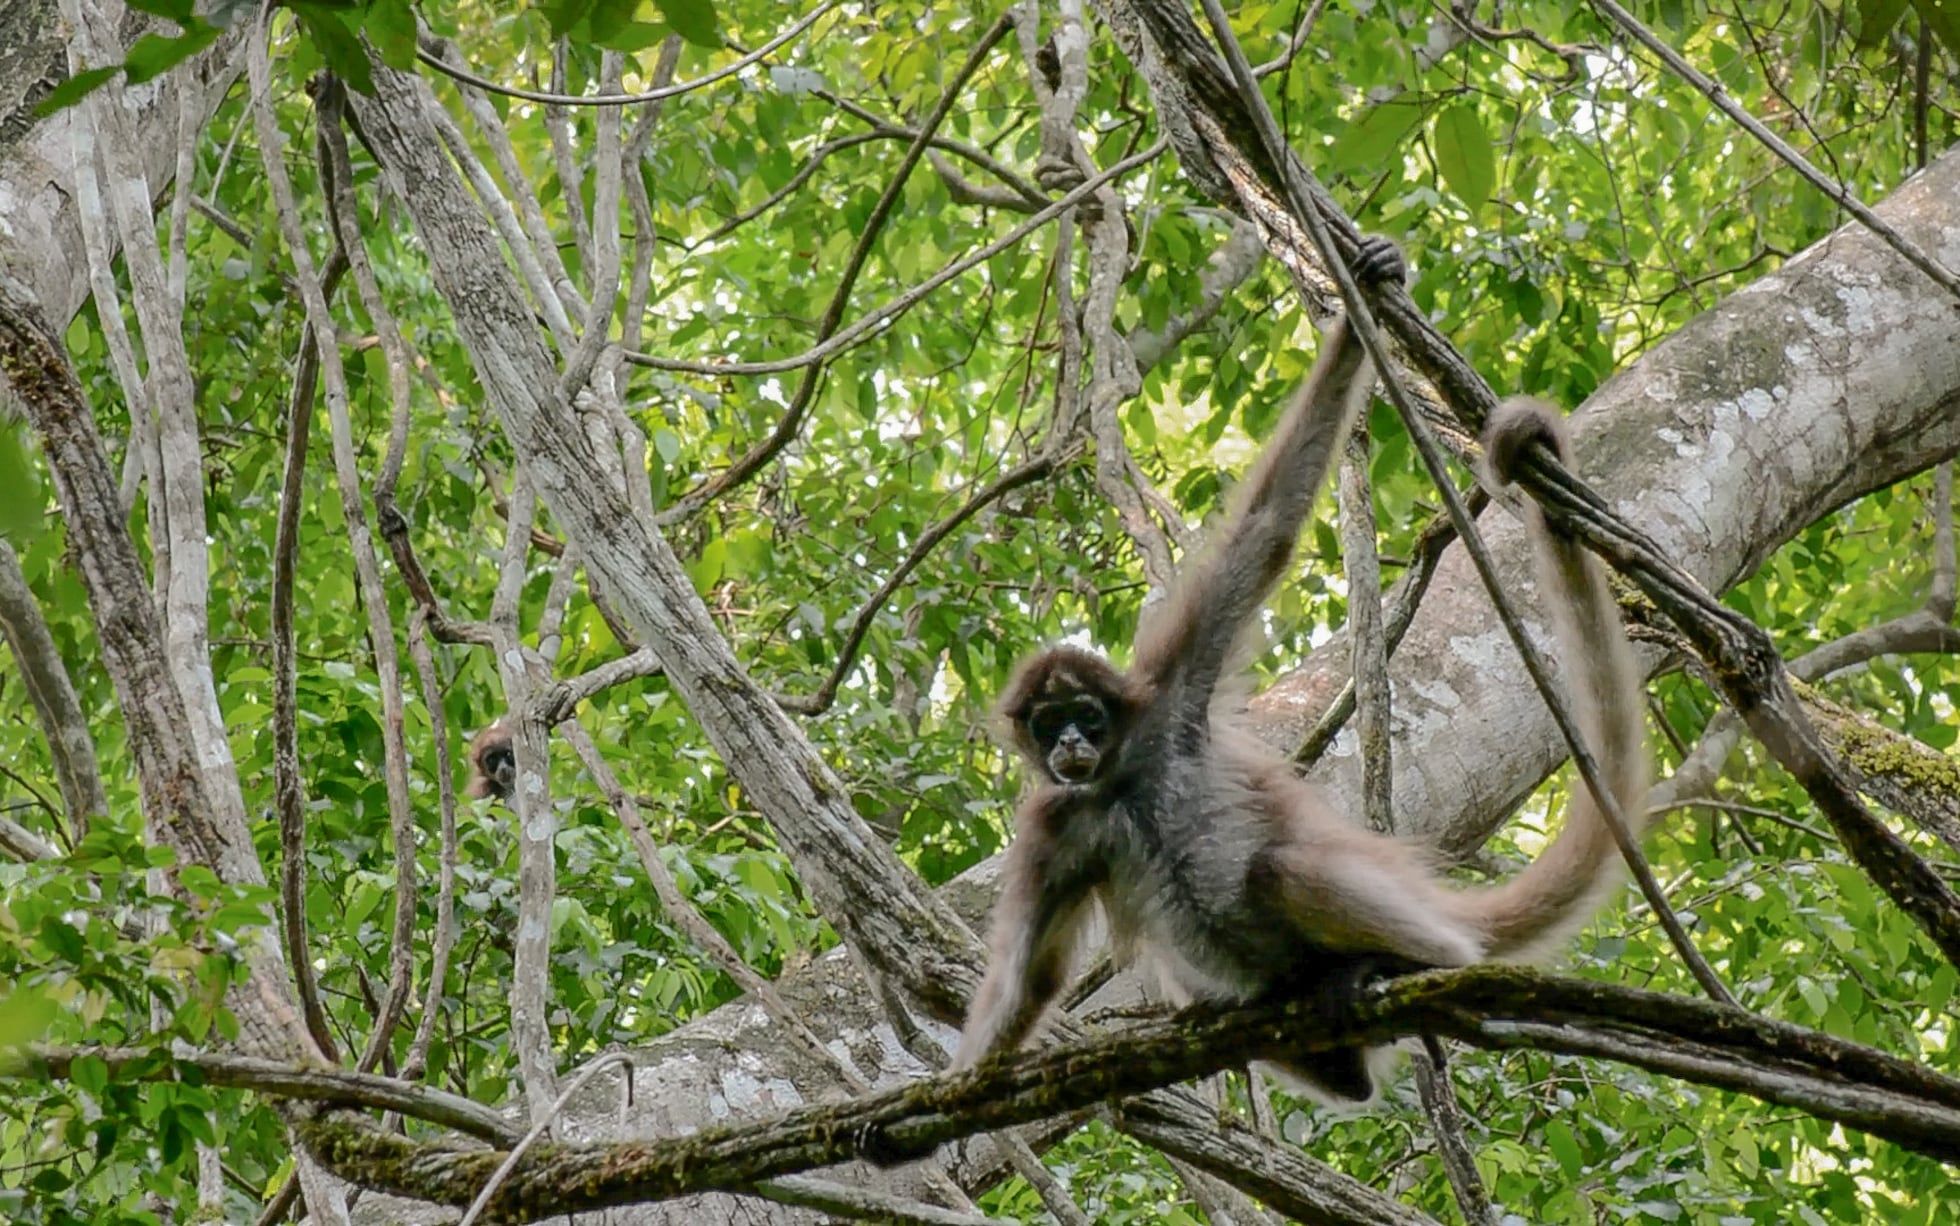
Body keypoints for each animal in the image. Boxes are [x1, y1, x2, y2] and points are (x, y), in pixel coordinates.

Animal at [953, 236, 1649, 1103]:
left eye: (1087, 717)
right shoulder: (1054, 824)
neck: (1121, 780)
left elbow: (1267, 530)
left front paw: (1363, 302)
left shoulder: (1171, 690)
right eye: (1049, 726)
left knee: (1281, 870)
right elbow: (1028, 981)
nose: (1070, 747)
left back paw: (1411, 963)